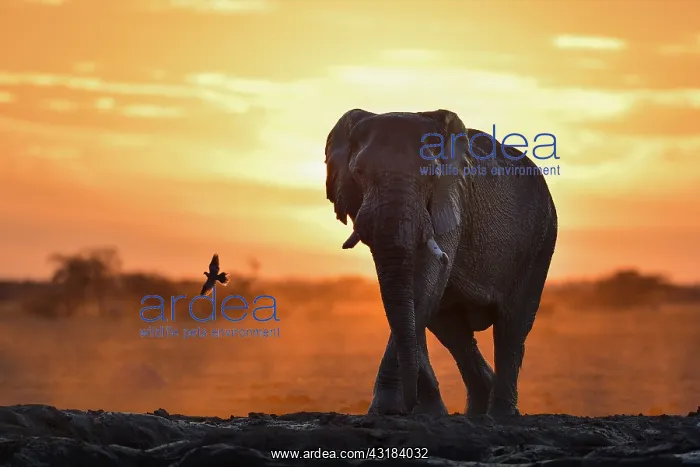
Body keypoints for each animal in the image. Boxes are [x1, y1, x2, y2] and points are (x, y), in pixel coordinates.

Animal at [324, 109, 558, 418]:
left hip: (541, 239)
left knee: (512, 326)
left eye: (433, 175)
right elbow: (411, 297)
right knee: (451, 329)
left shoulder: (452, 197)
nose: (408, 406)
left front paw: (386, 410)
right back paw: (475, 411)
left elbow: (425, 280)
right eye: (359, 172)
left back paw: (500, 416)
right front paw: (423, 413)